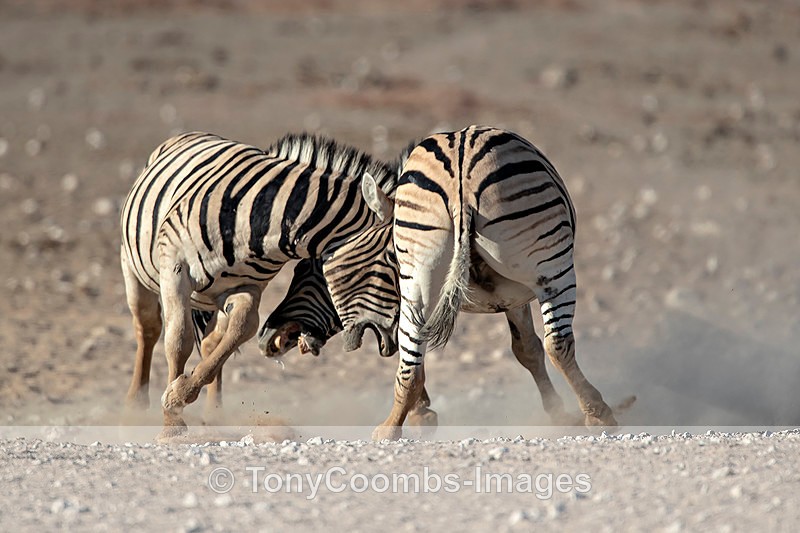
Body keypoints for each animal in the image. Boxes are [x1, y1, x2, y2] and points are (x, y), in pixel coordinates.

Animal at [119, 131, 398, 437]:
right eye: (393, 267)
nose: (392, 340)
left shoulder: (246, 287)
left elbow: (242, 328)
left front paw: (180, 394)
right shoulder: (175, 268)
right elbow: (178, 340)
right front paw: (172, 422)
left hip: (211, 297)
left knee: (210, 342)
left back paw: (214, 416)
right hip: (133, 266)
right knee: (148, 328)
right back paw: (134, 407)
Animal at [258, 126, 632, 440]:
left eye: (312, 271)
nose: (266, 341)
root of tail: (461, 180)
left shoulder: (507, 297)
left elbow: (525, 350)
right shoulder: (514, 296)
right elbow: (530, 349)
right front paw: (561, 416)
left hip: (427, 280)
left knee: (412, 366)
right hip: (551, 268)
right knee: (558, 344)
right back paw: (599, 415)